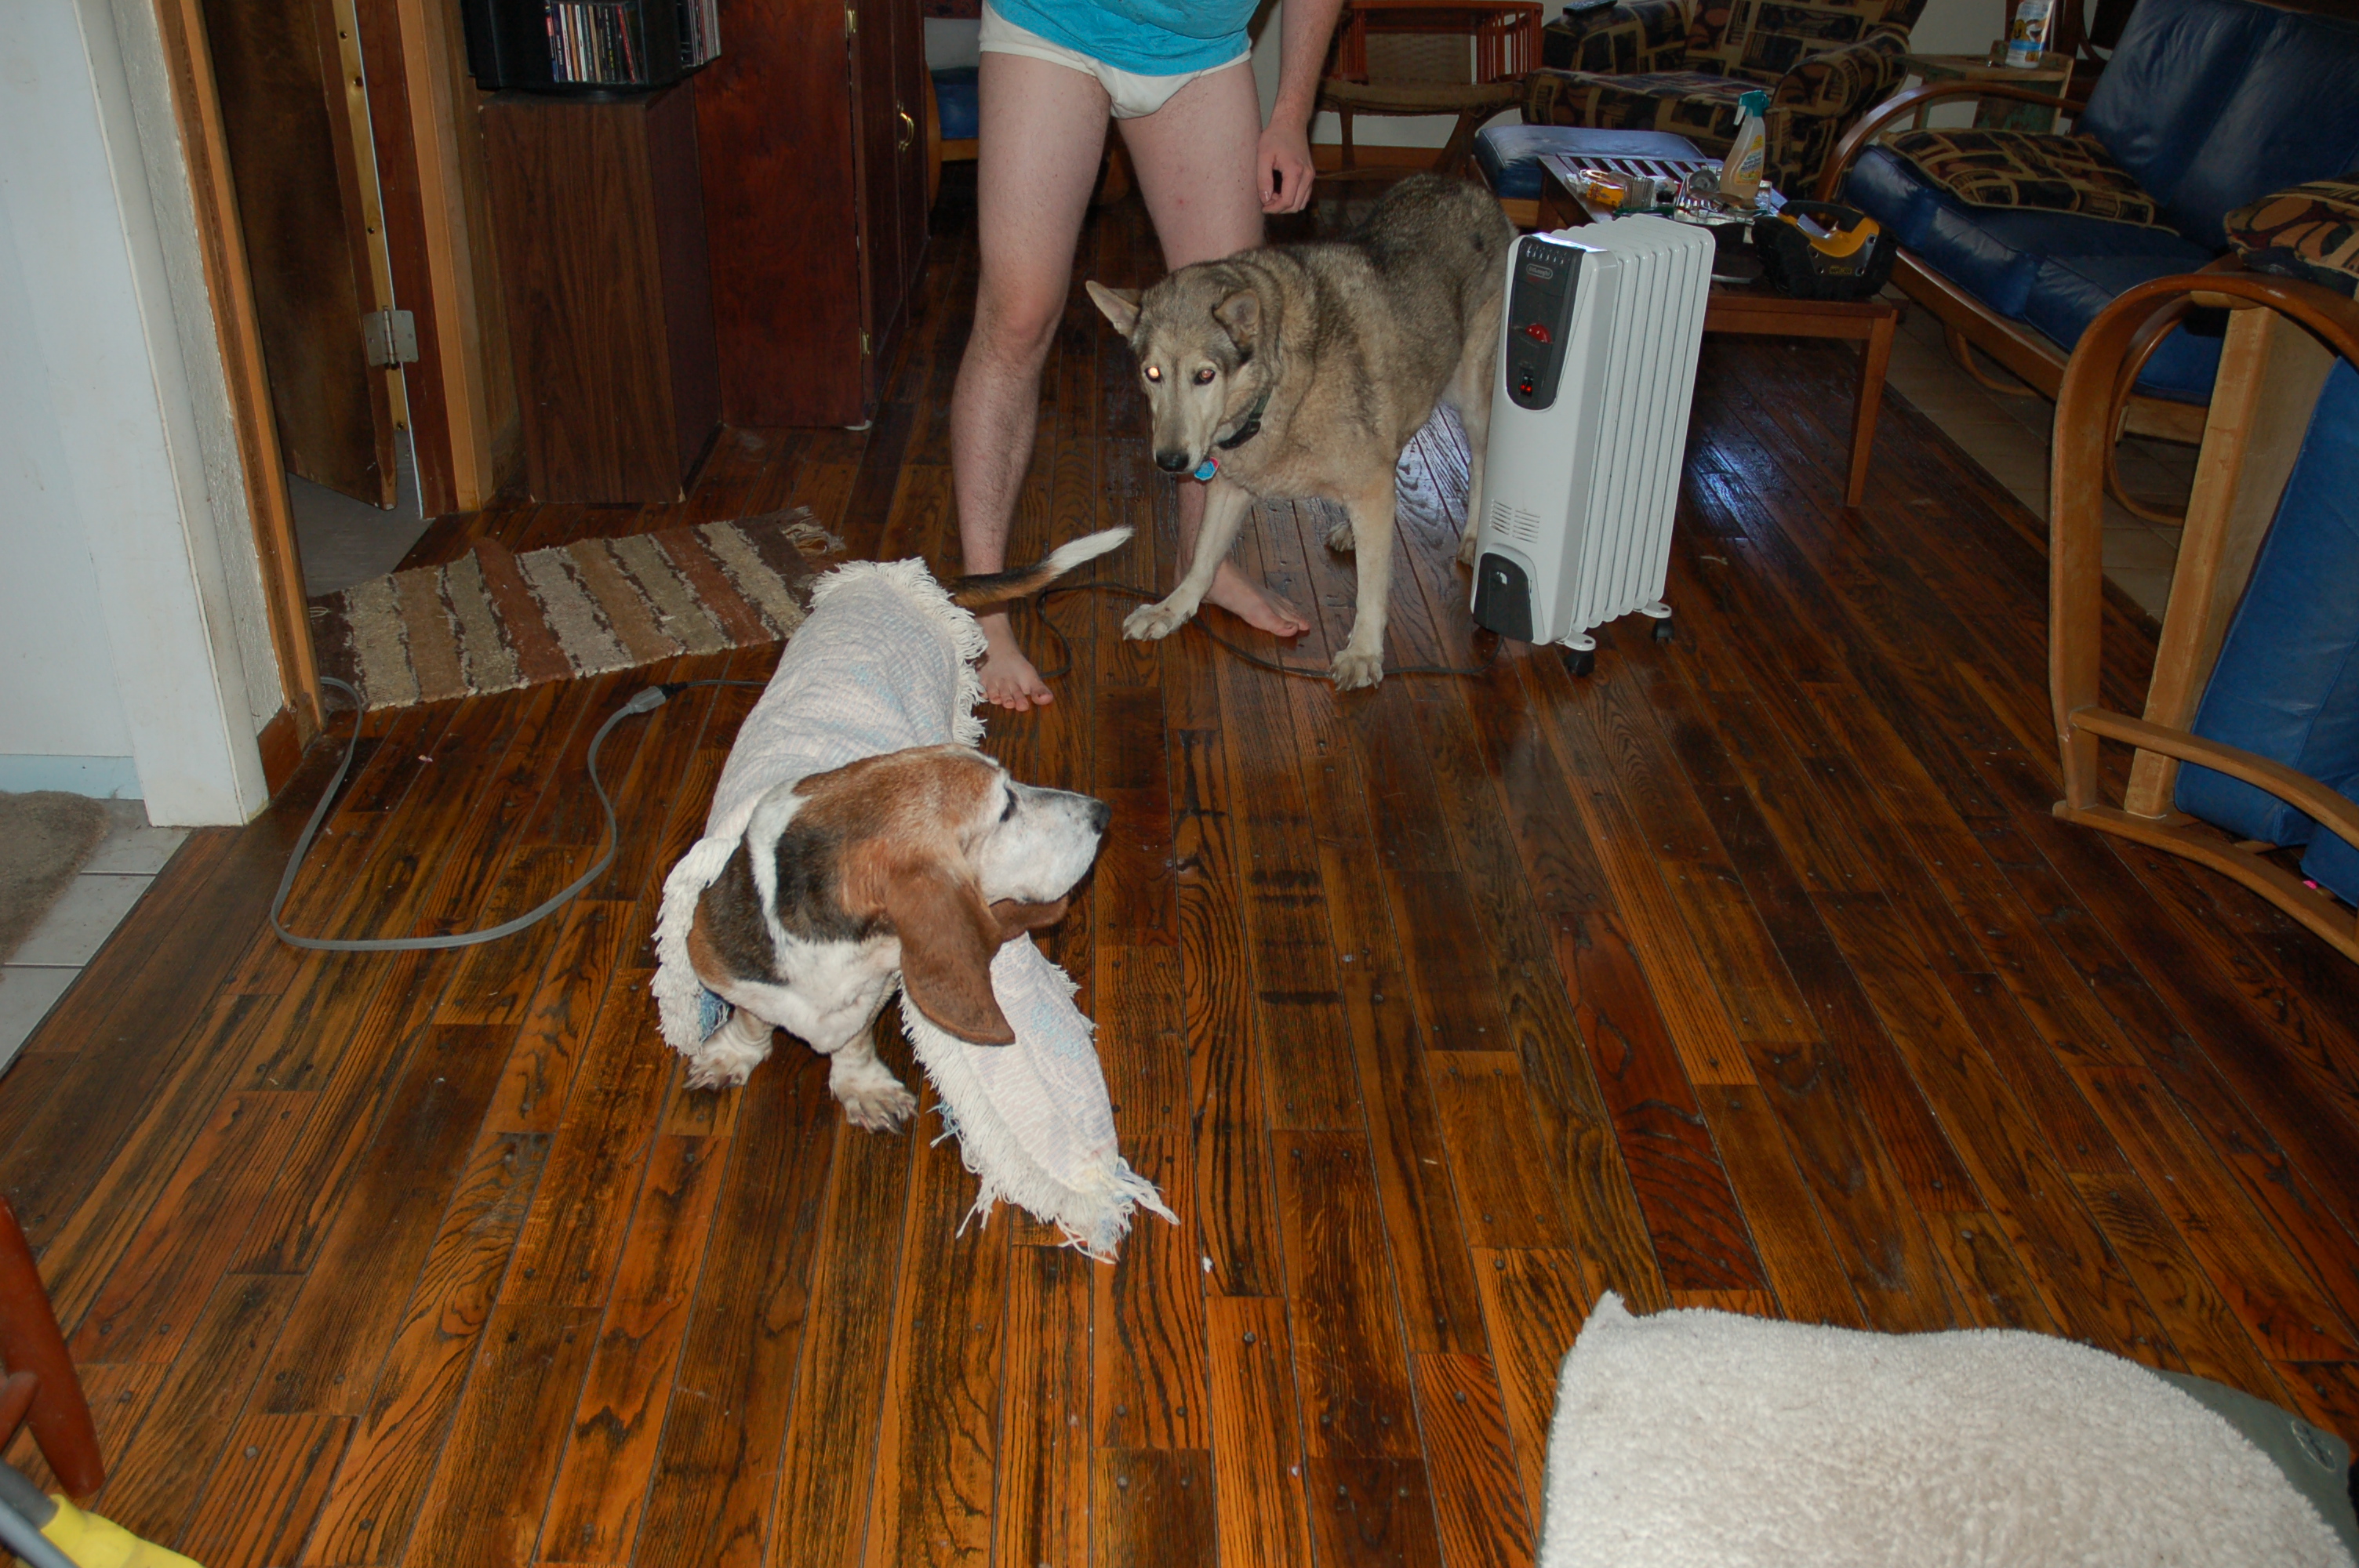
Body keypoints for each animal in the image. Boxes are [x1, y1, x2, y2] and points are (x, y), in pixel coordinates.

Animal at [666, 530, 1125, 1129]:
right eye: (1004, 808)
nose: (1101, 812)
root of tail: (893, 575)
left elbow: (855, 1036)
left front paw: (862, 1086)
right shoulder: (721, 966)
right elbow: (752, 1014)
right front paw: (732, 1055)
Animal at [1087, 173, 1514, 688]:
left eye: (1205, 375)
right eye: (1152, 374)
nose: (1170, 462)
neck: (1272, 394)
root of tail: (1466, 184)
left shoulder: (1365, 483)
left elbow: (1373, 585)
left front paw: (1364, 652)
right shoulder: (1232, 485)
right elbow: (1203, 560)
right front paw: (1172, 610)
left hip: (1474, 397)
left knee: (1483, 458)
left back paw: (1471, 537)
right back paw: (1353, 530)